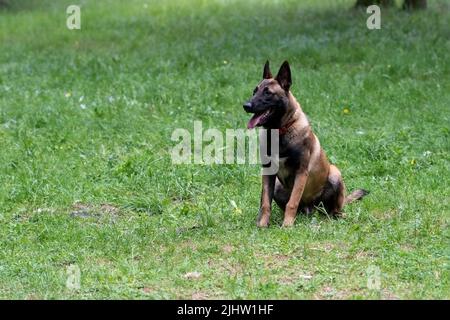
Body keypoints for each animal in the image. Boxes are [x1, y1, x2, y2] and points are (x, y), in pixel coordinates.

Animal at [244, 60, 368, 228]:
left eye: (268, 93)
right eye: (254, 91)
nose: (246, 106)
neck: (280, 131)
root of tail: (311, 209)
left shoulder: (301, 172)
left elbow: (292, 202)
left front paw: (287, 225)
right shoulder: (268, 172)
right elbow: (265, 202)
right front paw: (262, 224)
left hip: (334, 174)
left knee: (334, 209)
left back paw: (337, 215)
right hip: (277, 185)